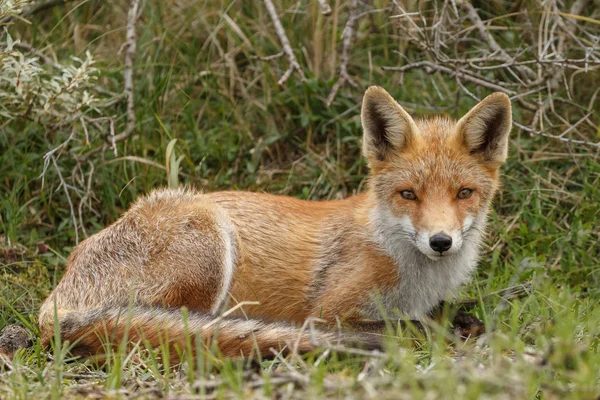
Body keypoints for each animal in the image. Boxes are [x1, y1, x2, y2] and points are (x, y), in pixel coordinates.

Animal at [39, 86, 512, 360]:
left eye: (463, 193)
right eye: (408, 194)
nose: (440, 241)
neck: (416, 277)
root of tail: (56, 300)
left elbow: (442, 315)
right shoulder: (331, 313)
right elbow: (409, 326)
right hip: (209, 245)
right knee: (180, 333)